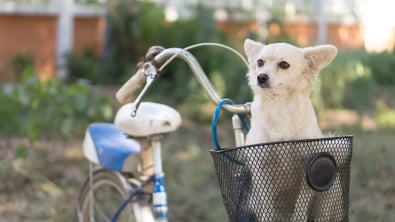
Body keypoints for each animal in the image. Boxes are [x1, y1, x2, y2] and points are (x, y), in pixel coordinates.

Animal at [243, 38, 338, 220]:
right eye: (260, 62)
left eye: (284, 65)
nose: (261, 76)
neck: (279, 104)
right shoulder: (260, 166)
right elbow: (267, 203)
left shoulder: (310, 168)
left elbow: (302, 201)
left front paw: (298, 218)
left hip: (327, 193)